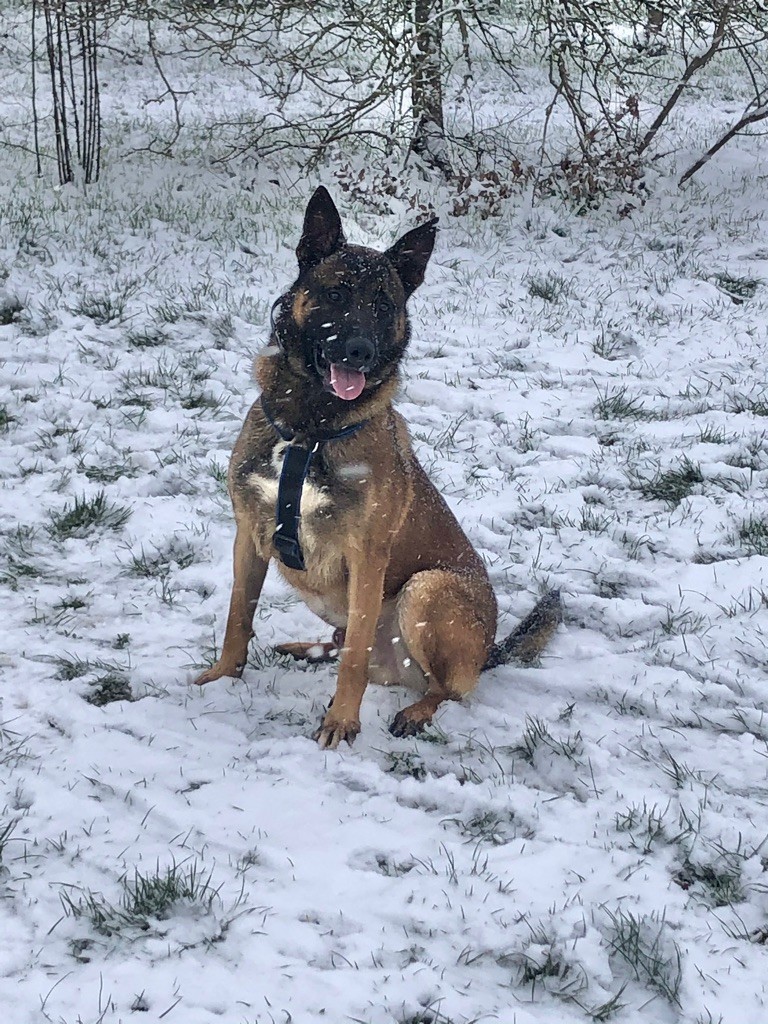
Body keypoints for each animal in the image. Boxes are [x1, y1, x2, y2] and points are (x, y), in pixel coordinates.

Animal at [195, 186, 561, 745]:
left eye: (383, 305)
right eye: (336, 295)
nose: (359, 352)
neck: (311, 428)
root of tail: (488, 652)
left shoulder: (367, 558)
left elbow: (354, 657)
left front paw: (342, 722)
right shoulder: (248, 535)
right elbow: (239, 616)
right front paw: (222, 679)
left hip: (428, 588)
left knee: (443, 687)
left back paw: (416, 711)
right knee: (346, 644)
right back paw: (306, 650)